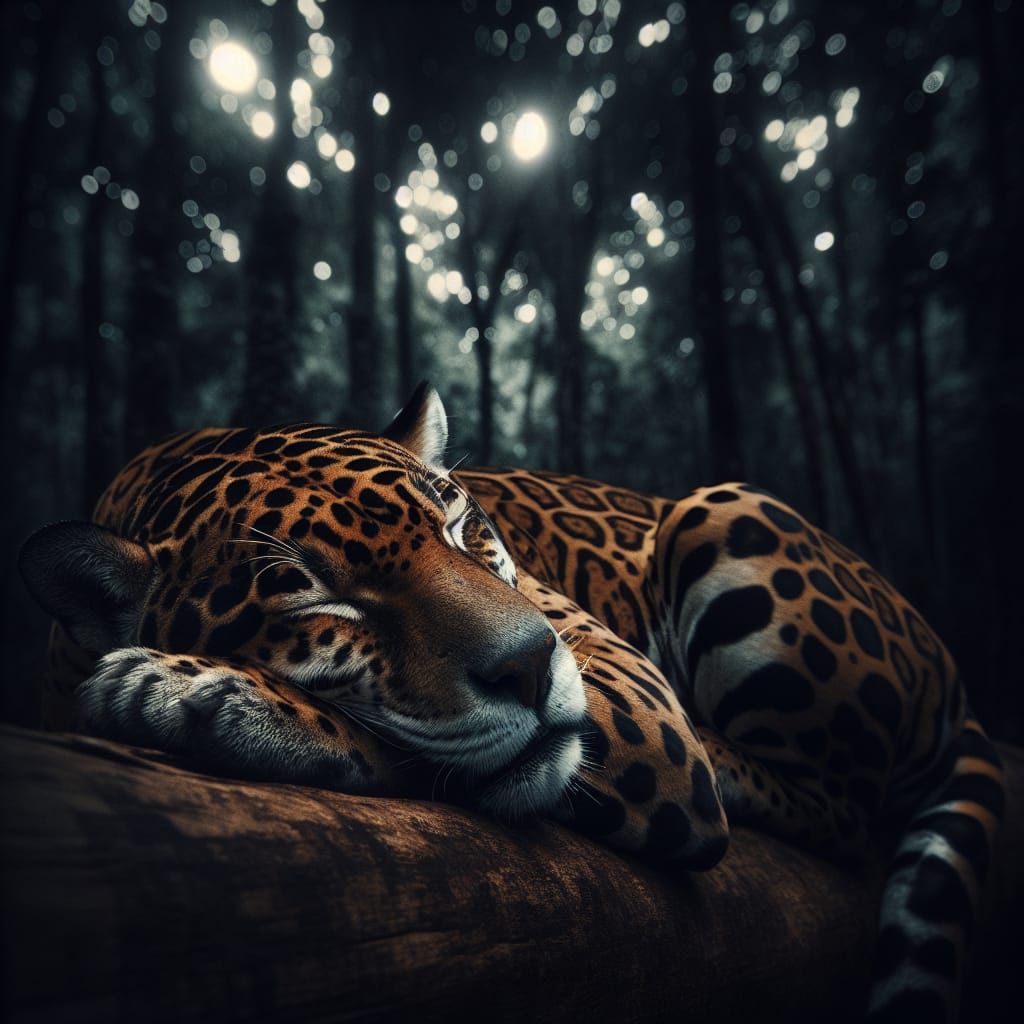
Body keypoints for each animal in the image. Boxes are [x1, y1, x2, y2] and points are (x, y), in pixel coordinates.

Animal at [19, 383, 1004, 1023]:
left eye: (465, 528)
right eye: (312, 595)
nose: (533, 664)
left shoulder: (630, 692)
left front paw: (193, 689)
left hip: (721, 504)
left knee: (843, 813)